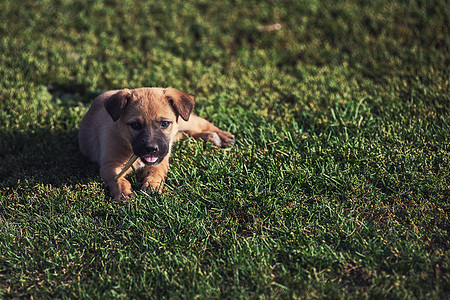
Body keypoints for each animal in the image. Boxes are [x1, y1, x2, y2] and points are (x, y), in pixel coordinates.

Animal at [79, 88, 236, 203]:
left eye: (165, 123)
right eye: (135, 125)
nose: (151, 149)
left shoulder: (160, 160)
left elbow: (156, 174)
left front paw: (152, 186)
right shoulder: (109, 165)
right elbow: (119, 180)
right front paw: (124, 193)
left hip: (185, 120)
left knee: (201, 123)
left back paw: (222, 136)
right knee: (186, 134)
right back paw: (210, 137)